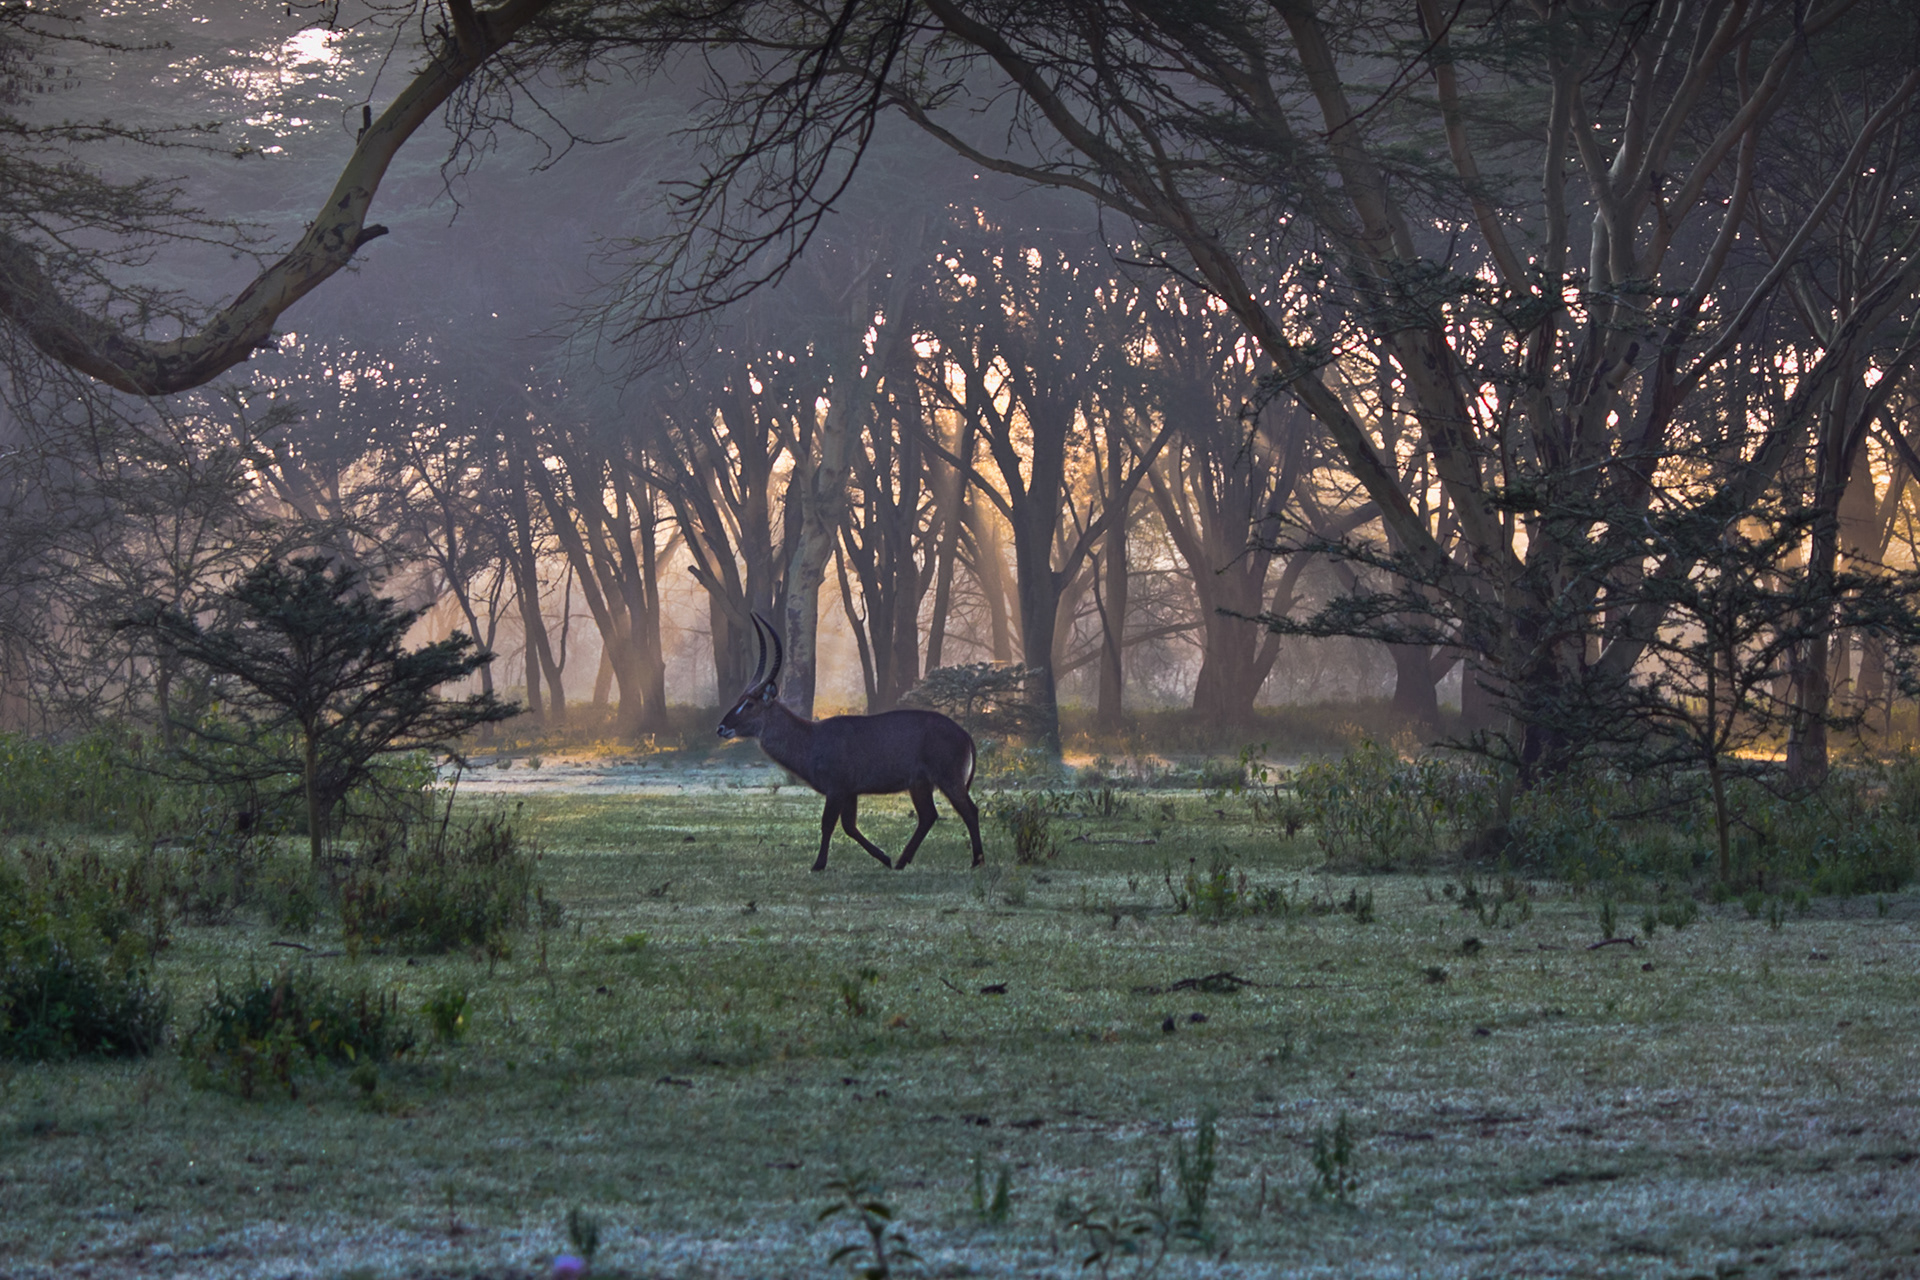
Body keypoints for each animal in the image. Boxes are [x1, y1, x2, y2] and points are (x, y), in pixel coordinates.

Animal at [716, 613, 986, 872]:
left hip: (948, 779)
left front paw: (818, 864)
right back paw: (901, 861)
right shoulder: (850, 792)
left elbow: (828, 824)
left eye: (749, 704)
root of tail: (964, 734)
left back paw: (977, 861)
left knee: (969, 811)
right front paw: (884, 858)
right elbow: (850, 827)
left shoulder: (837, 789)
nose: (721, 728)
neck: (811, 738)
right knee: (928, 816)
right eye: (739, 700)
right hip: (920, 784)